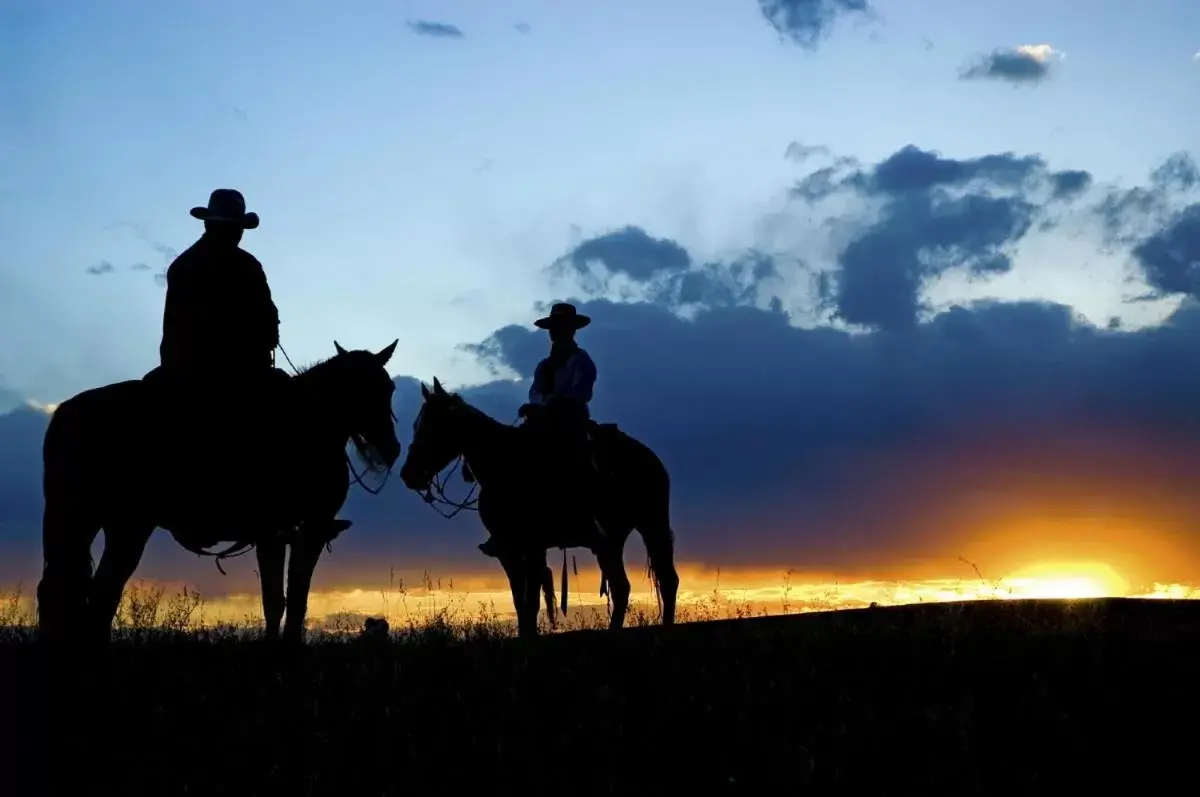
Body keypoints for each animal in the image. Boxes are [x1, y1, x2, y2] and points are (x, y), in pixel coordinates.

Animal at [35, 338, 403, 643]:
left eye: (389, 388)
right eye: (360, 389)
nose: (392, 448)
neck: (310, 425)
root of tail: (67, 411)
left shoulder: (285, 532)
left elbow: (284, 599)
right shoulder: (297, 529)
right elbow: (286, 598)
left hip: (97, 521)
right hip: (125, 524)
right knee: (94, 593)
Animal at [393, 379, 676, 643]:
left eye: (433, 425)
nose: (408, 474)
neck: (507, 468)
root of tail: (650, 457)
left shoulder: (534, 545)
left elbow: (531, 601)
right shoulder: (509, 550)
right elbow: (521, 603)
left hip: (652, 525)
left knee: (667, 579)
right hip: (612, 539)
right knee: (621, 586)